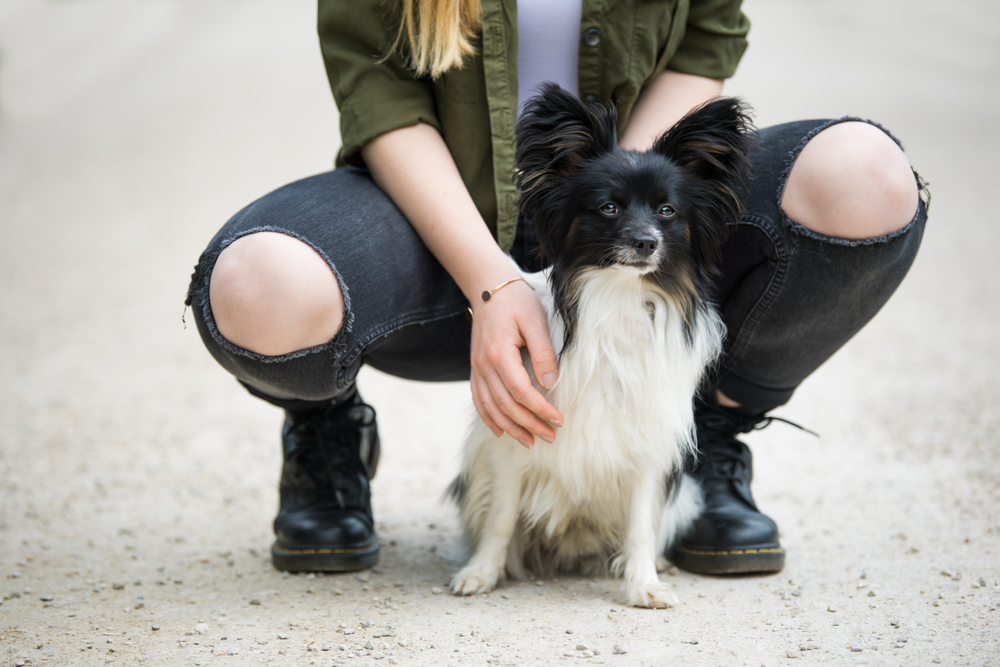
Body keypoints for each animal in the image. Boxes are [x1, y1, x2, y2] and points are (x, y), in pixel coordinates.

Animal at [450, 83, 752, 612]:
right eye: (609, 208)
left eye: (667, 211)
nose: (646, 242)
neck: (618, 297)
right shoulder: (511, 443)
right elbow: (502, 517)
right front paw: (482, 572)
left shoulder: (647, 446)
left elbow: (640, 525)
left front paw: (644, 584)